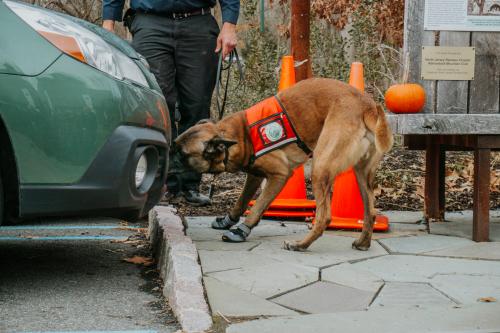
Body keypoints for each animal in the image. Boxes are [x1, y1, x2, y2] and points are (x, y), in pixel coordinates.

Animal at [174, 77, 392, 249]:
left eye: (182, 154)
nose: (168, 155)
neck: (240, 134)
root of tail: (368, 106)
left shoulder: (279, 175)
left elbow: (257, 206)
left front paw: (241, 230)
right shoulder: (254, 175)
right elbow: (241, 201)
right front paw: (228, 220)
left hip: (320, 167)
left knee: (324, 217)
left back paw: (300, 245)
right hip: (361, 173)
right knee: (371, 211)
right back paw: (363, 242)